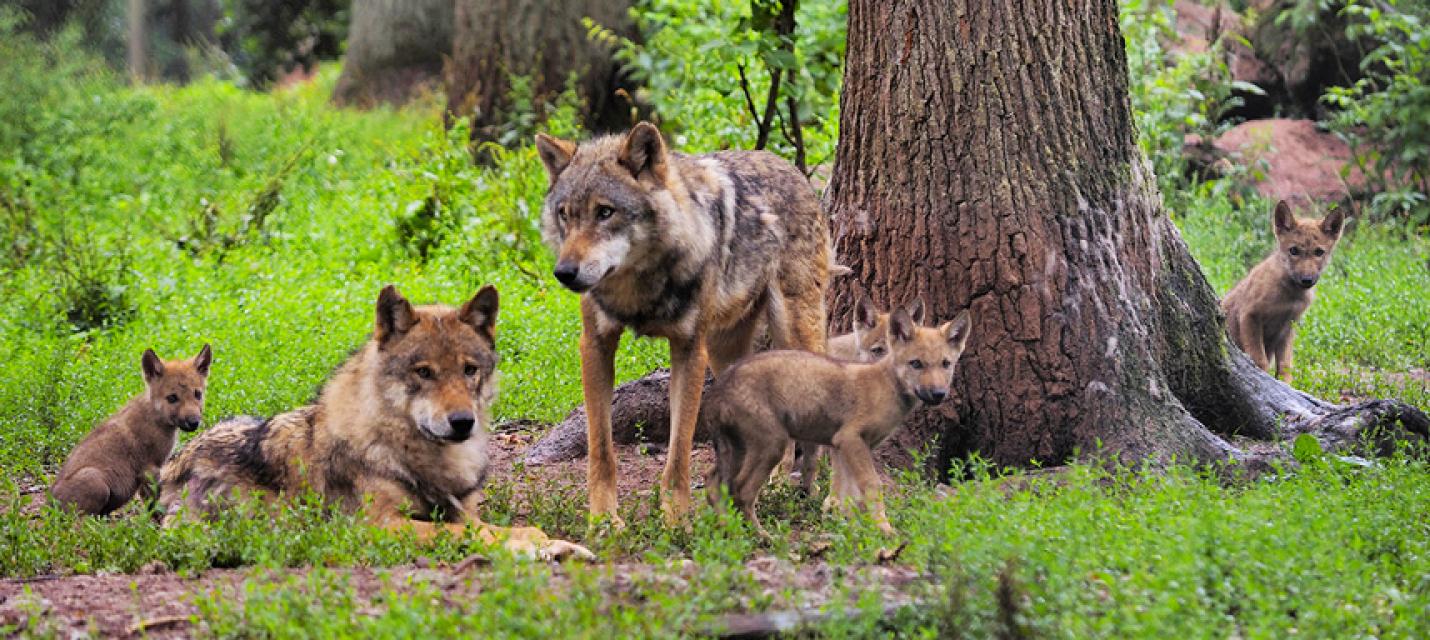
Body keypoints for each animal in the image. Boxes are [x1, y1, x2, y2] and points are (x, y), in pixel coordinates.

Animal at [534, 121, 835, 525]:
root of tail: (789, 167)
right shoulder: (595, 345)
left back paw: (822, 494)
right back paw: (765, 488)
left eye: (605, 212)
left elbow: (678, 451)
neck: (638, 288)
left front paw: (675, 520)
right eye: (565, 214)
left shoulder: (690, 349)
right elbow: (601, 450)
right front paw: (604, 519)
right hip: (727, 353)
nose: (564, 273)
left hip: (794, 329)